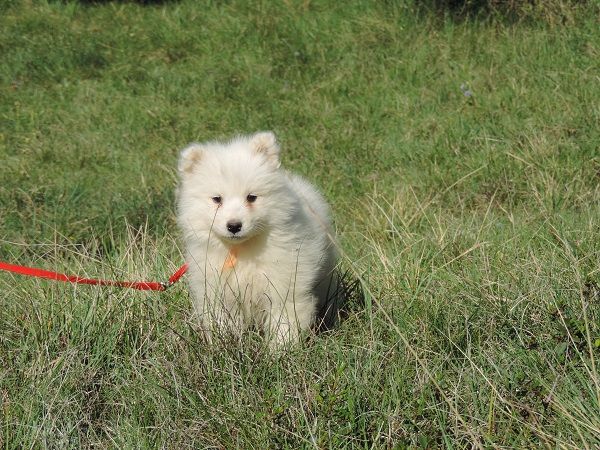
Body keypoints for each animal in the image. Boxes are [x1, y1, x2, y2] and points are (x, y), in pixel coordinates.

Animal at [177, 132, 338, 346]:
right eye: (217, 199)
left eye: (251, 197)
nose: (234, 226)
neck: (243, 250)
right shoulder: (218, 291)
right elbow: (222, 322)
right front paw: (225, 344)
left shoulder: (285, 286)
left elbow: (284, 322)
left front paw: (281, 350)